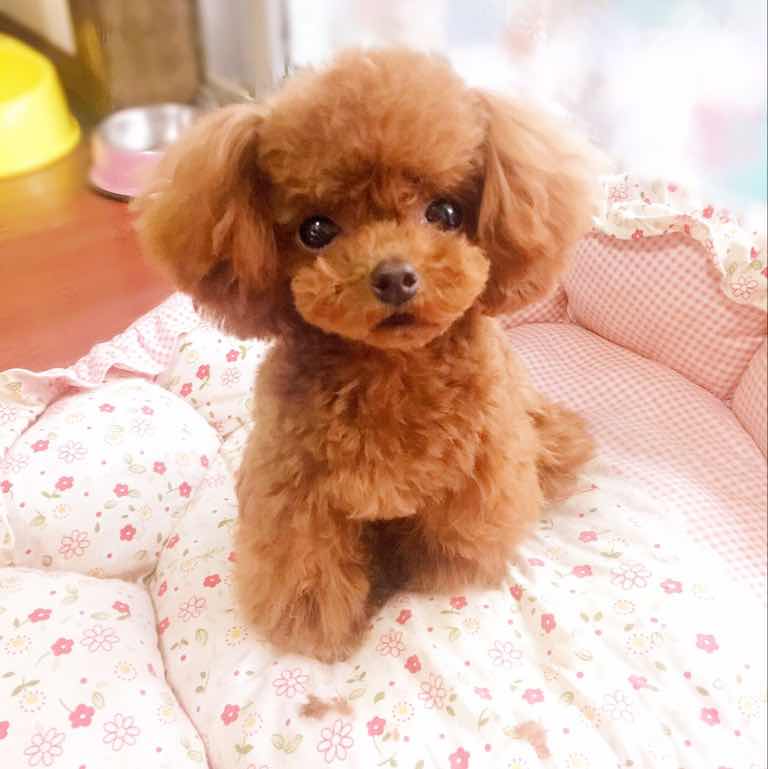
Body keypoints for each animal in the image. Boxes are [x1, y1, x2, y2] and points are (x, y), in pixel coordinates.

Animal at [136, 48, 598, 662]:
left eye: (444, 213)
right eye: (316, 230)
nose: (396, 277)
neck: (388, 370)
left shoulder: (478, 474)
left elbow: (452, 539)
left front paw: (431, 575)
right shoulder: (297, 494)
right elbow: (307, 568)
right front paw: (318, 626)